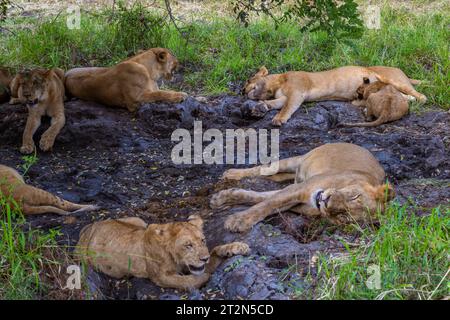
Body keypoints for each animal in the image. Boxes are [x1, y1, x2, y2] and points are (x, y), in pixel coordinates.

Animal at [74, 215, 250, 290]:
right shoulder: (161, 277)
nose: (204, 259)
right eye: (188, 245)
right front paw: (206, 277)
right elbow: (187, 281)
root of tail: (88, 226)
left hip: (138, 221)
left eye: (203, 241)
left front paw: (237, 247)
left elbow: (215, 250)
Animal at [211, 143, 394, 232]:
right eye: (354, 196)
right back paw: (231, 174)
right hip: (294, 162)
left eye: (343, 217)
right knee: (262, 169)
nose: (326, 201)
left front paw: (223, 198)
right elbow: (265, 204)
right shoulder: (300, 189)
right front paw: (238, 219)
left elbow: (261, 199)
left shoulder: (298, 199)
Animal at [244, 66, 428, 126]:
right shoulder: (284, 96)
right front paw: (260, 107)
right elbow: (276, 103)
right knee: (408, 98)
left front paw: (278, 119)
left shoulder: (297, 91)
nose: (242, 90)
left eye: (248, 79)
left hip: (394, 79)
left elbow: (287, 107)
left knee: (421, 96)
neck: (277, 83)